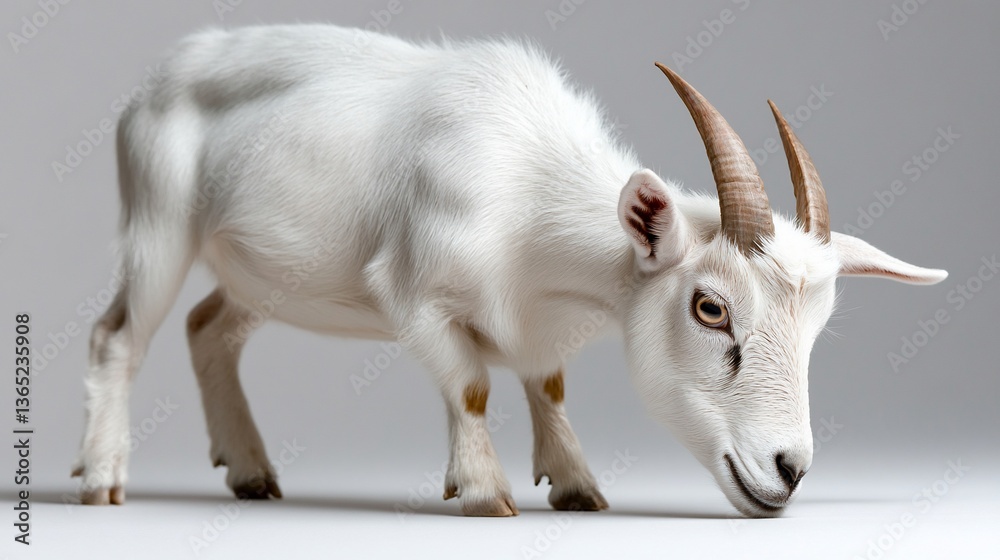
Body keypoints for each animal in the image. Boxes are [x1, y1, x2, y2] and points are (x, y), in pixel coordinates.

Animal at [73, 24, 946, 517]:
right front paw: (485, 493)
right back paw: (100, 479)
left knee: (208, 328)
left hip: (269, 272)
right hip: (158, 223)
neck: (529, 187)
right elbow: (470, 384)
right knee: (118, 335)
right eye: (710, 308)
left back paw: (250, 471)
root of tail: (158, 78)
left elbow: (546, 383)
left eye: (817, 328)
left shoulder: (537, 319)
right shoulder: (412, 297)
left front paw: (577, 487)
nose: (789, 471)